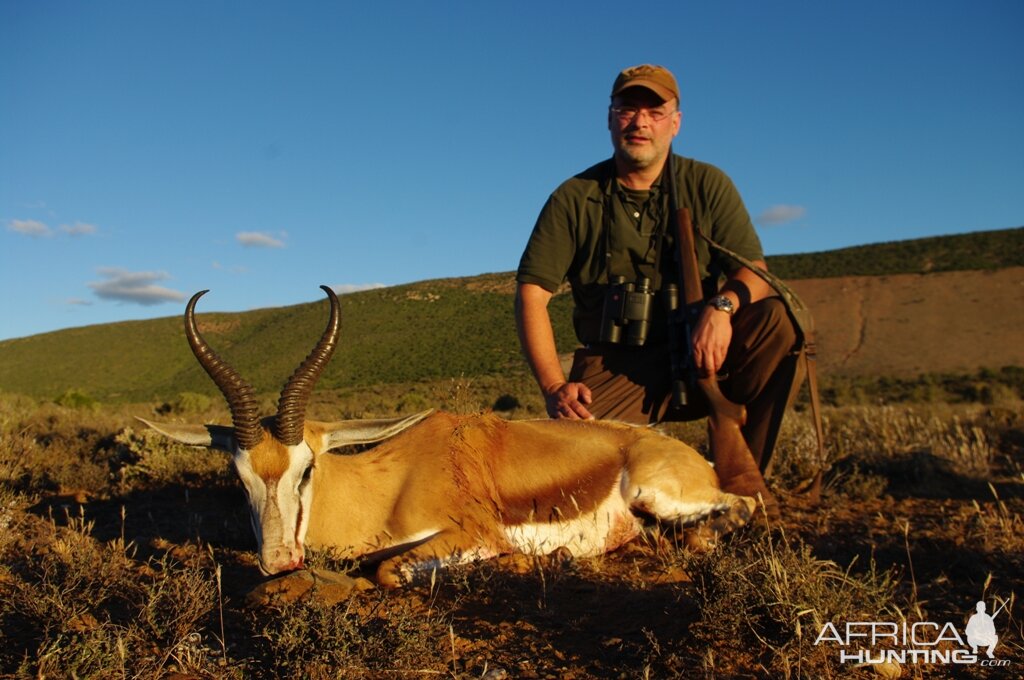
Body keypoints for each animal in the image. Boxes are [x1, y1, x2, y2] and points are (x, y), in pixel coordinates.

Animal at [142, 284, 753, 585]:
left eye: (307, 467)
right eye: (239, 474)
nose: (279, 561)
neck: (385, 489)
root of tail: (684, 453)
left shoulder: (470, 534)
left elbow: (388, 570)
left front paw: (534, 562)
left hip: (656, 492)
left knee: (742, 506)